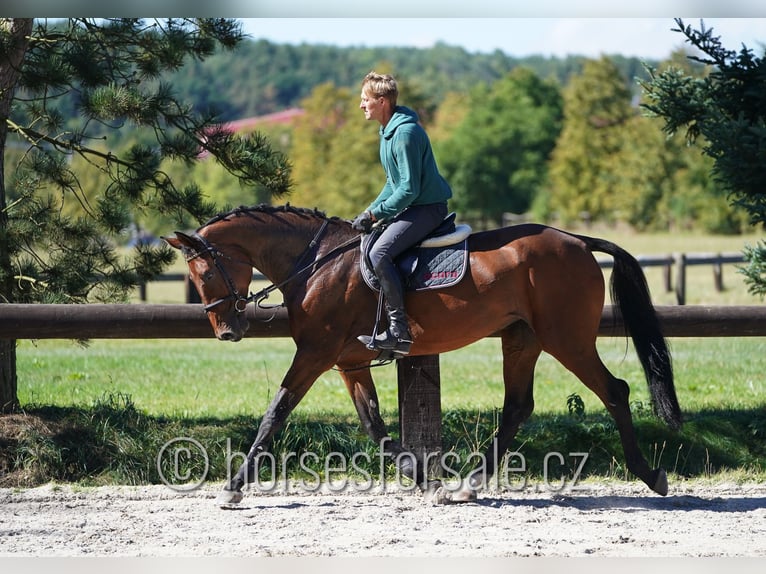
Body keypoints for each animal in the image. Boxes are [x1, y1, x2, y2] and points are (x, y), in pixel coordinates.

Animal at [164, 205, 684, 506]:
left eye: (203, 272)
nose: (227, 332)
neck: (315, 263)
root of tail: (577, 240)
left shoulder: (314, 353)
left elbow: (276, 412)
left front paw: (234, 488)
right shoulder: (348, 361)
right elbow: (373, 423)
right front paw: (420, 476)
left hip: (566, 337)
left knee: (615, 391)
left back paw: (651, 475)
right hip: (522, 338)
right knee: (518, 407)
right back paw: (466, 486)